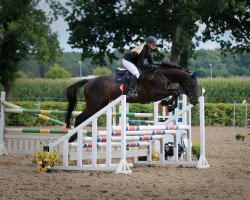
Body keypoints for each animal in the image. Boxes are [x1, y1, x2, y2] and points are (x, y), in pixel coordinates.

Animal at [65, 61, 198, 141]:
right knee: (79, 118)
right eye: (192, 84)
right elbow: (175, 92)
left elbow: (176, 92)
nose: (195, 101)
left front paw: (169, 105)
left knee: (83, 119)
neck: (161, 75)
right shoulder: (155, 95)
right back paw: (72, 138)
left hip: (100, 106)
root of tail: (89, 81)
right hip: (94, 106)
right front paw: (167, 105)